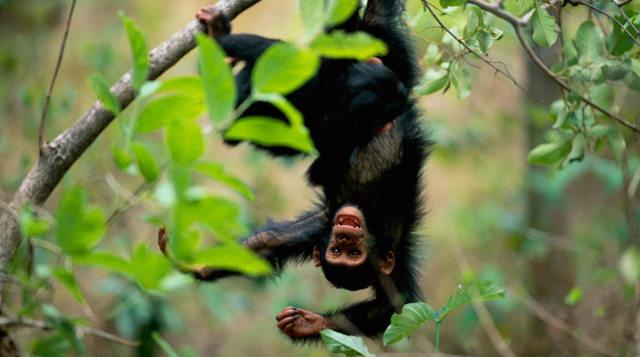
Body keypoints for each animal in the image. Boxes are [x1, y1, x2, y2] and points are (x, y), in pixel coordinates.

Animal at [159, 0, 430, 340]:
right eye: (337, 251)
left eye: (353, 255)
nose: (346, 235)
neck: (363, 213)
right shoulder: (320, 228)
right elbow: (264, 244)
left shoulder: (372, 253)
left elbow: (394, 310)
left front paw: (308, 324)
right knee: (365, 27)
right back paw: (223, 36)